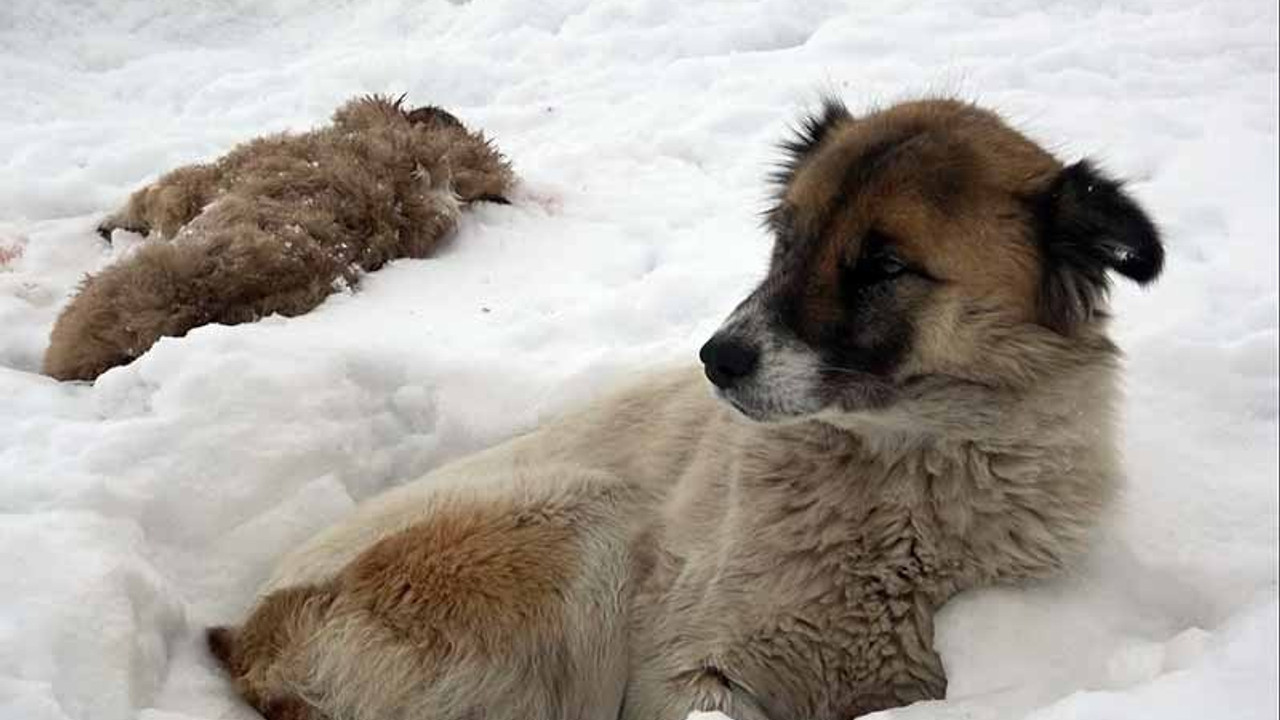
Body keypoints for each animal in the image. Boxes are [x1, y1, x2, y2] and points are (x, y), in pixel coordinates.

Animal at [207, 96, 1162, 717]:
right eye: (787, 239)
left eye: (885, 266)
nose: (717, 360)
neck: (900, 489)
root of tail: (247, 637)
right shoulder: (687, 672)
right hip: (583, 522)